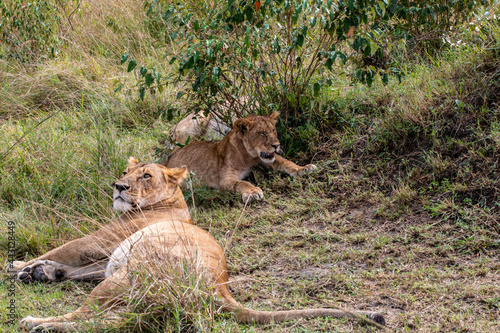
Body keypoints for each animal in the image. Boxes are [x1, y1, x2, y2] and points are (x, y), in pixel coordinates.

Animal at [14, 159, 382, 332]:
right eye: (127, 172)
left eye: (146, 176)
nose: (119, 186)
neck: (171, 202)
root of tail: (219, 287)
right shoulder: (107, 256)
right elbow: (76, 267)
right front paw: (39, 272)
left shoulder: (101, 240)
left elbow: (64, 249)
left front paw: (20, 265)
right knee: (111, 322)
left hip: (124, 278)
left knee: (90, 316)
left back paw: (37, 323)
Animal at [161, 111, 316, 201]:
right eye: (262, 133)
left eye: (273, 130)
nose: (276, 145)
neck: (248, 156)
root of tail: (168, 159)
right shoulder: (225, 179)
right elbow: (242, 183)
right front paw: (252, 191)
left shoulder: (265, 159)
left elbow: (286, 162)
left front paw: (303, 168)